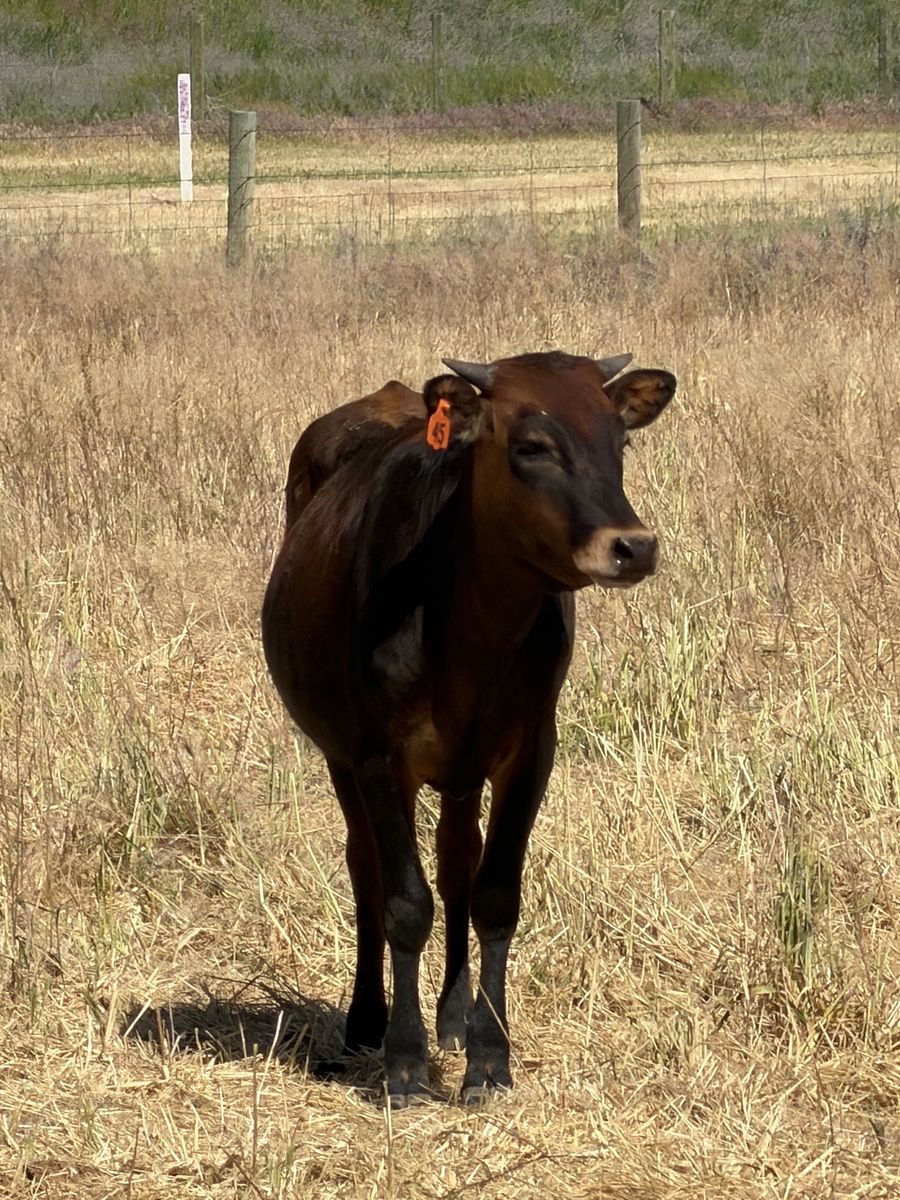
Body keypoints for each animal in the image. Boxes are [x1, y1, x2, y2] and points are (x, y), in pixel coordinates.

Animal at [262, 350, 676, 1106]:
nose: (632, 547)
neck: (470, 627)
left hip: (460, 772)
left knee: (457, 859)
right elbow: (404, 902)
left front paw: (487, 1053)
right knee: (366, 868)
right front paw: (403, 1061)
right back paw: (366, 1020)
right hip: (341, 756)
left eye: (620, 443)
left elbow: (494, 894)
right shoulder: (377, 753)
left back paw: (452, 1016)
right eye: (533, 446)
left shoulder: (529, 751)